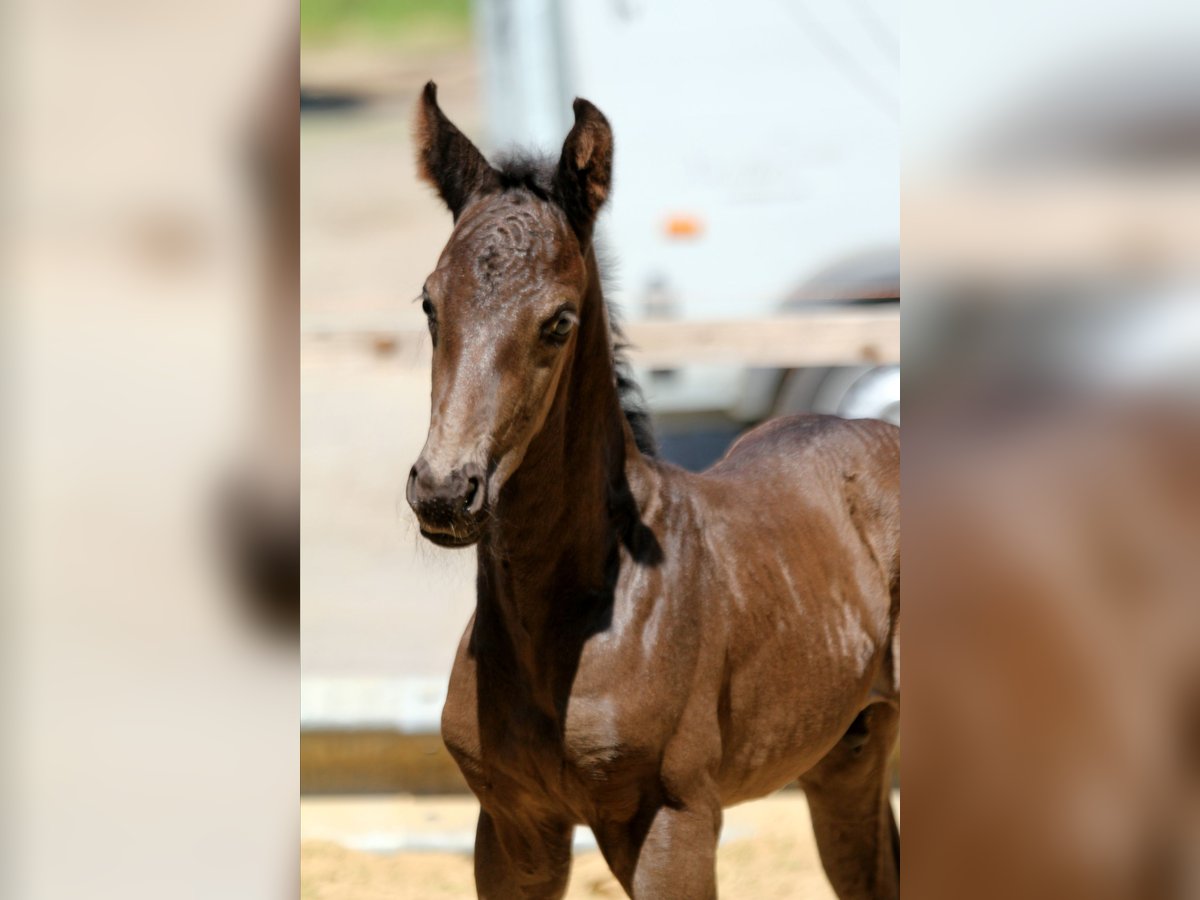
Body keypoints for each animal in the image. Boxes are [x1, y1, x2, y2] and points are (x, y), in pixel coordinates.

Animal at [405, 81, 900, 899]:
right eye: (429, 304)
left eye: (559, 321)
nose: (445, 491)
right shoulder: (511, 830)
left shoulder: (674, 824)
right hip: (844, 757)